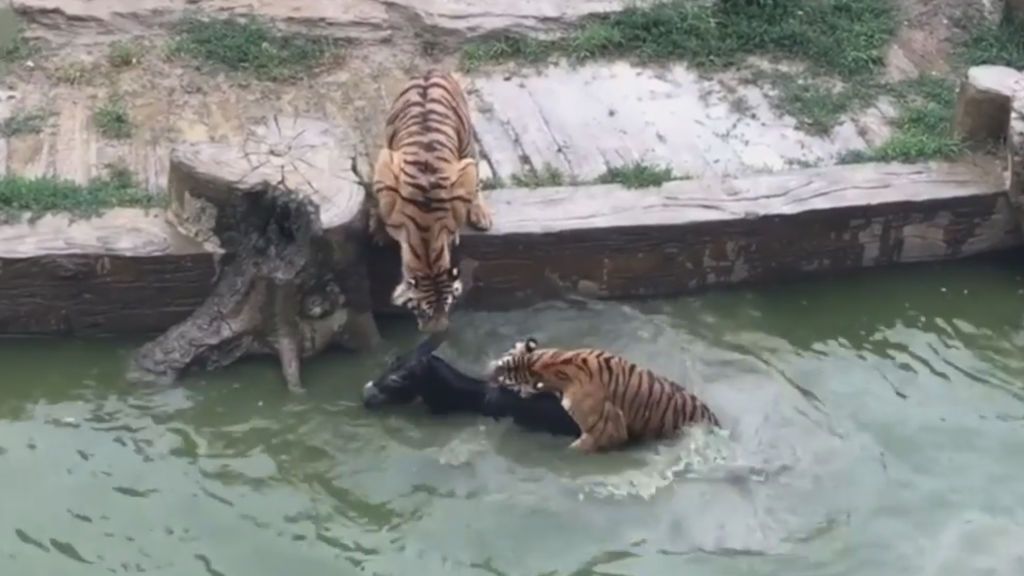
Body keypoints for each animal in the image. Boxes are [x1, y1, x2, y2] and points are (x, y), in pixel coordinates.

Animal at [370, 70, 493, 334]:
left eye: (447, 306)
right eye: (422, 311)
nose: (438, 331)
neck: (425, 242)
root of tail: (431, 72)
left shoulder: (464, 174)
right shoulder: (385, 163)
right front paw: (379, 232)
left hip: (467, 146)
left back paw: (481, 215)